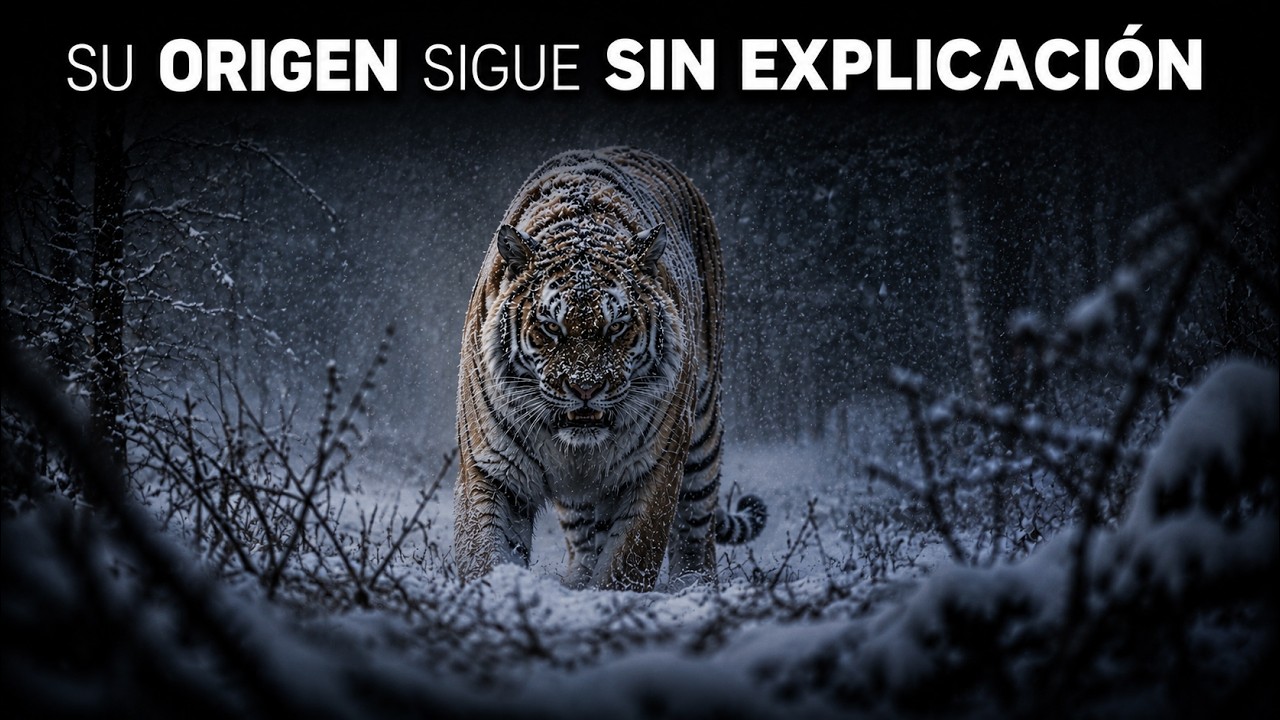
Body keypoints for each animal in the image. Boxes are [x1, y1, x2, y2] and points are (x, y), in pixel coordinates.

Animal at [453, 146, 767, 592]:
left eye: (617, 326)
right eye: (551, 327)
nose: (586, 389)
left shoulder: (654, 471)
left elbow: (628, 561)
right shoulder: (493, 470)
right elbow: (484, 552)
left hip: (703, 428)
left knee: (696, 523)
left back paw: (695, 585)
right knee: (586, 535)